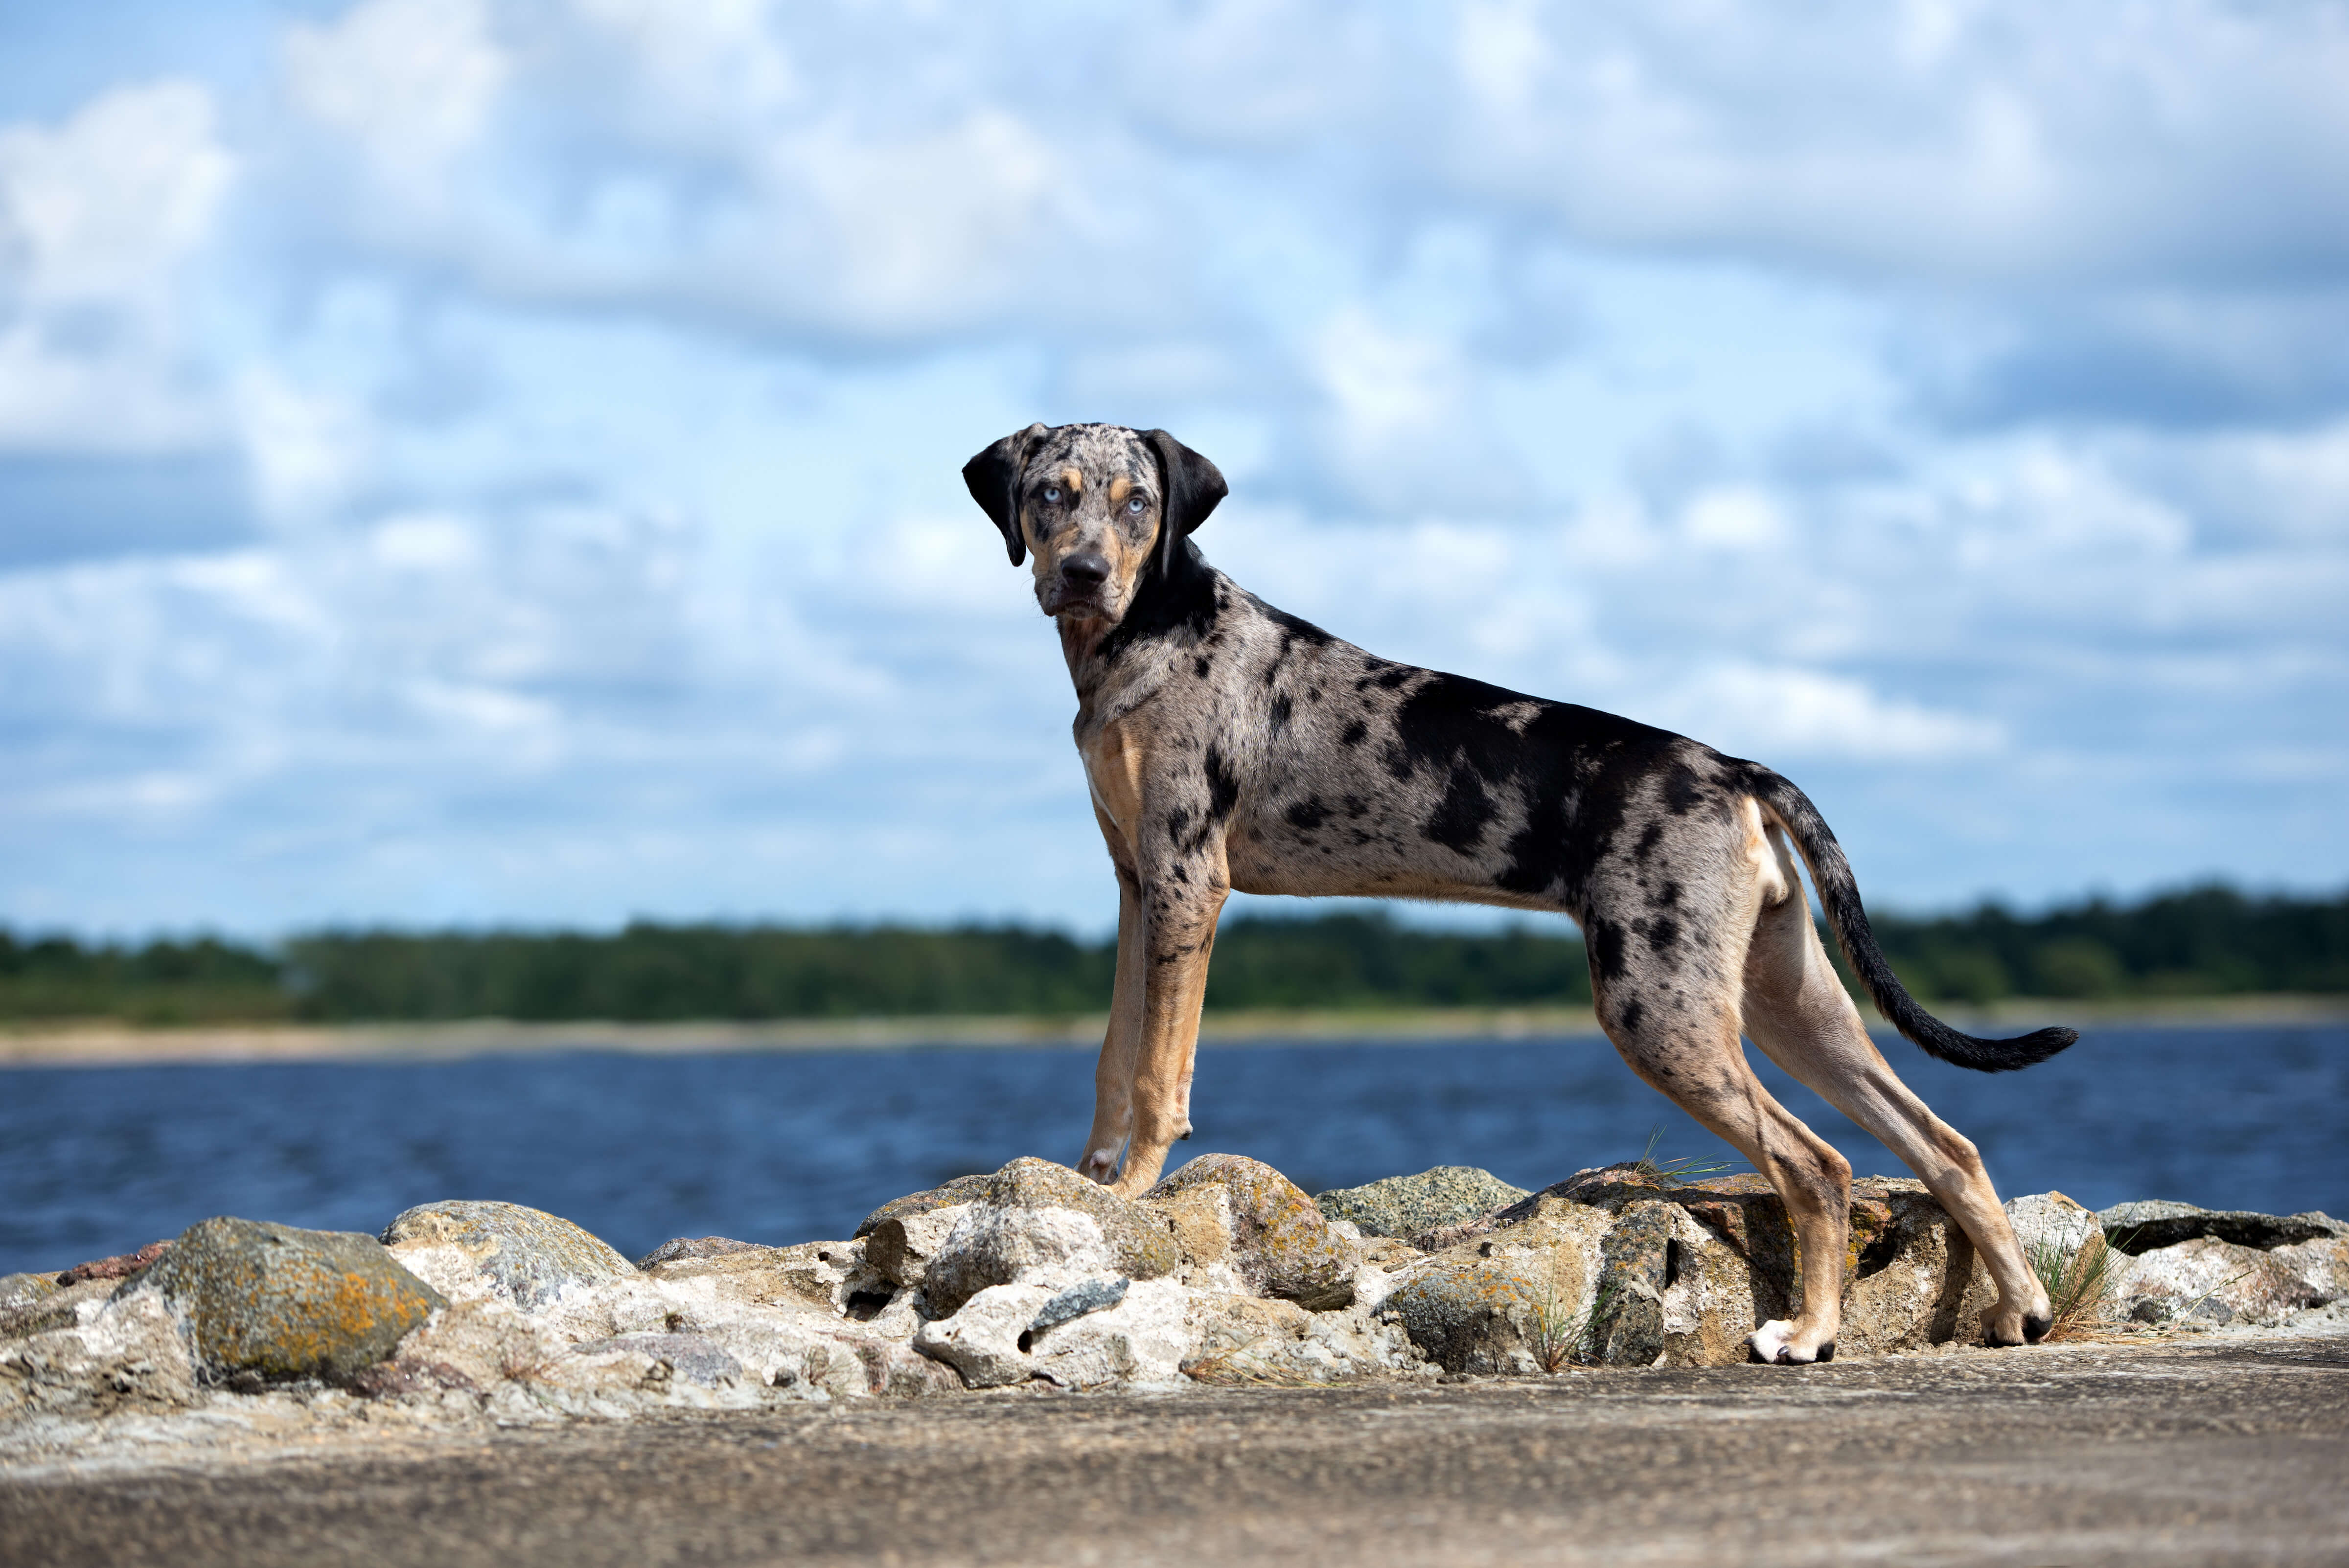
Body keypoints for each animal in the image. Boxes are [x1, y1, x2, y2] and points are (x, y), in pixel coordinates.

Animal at [953, 415, 2076, 1361]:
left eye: (1138, 501)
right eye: (1050, 495)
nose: (1084, 573)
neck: (1147, 633)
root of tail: (1737, 770)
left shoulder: (1188, 878)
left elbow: (1157, 1075)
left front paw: (1137, 1193)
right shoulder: (1135, 882)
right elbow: (1113, 1057)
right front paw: (1091, 1181)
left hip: (1659, 1007)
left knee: (1819, 1165)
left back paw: (1808, 1333)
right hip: (1784, 994)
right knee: (1942, 1142)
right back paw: (2019, 1308)